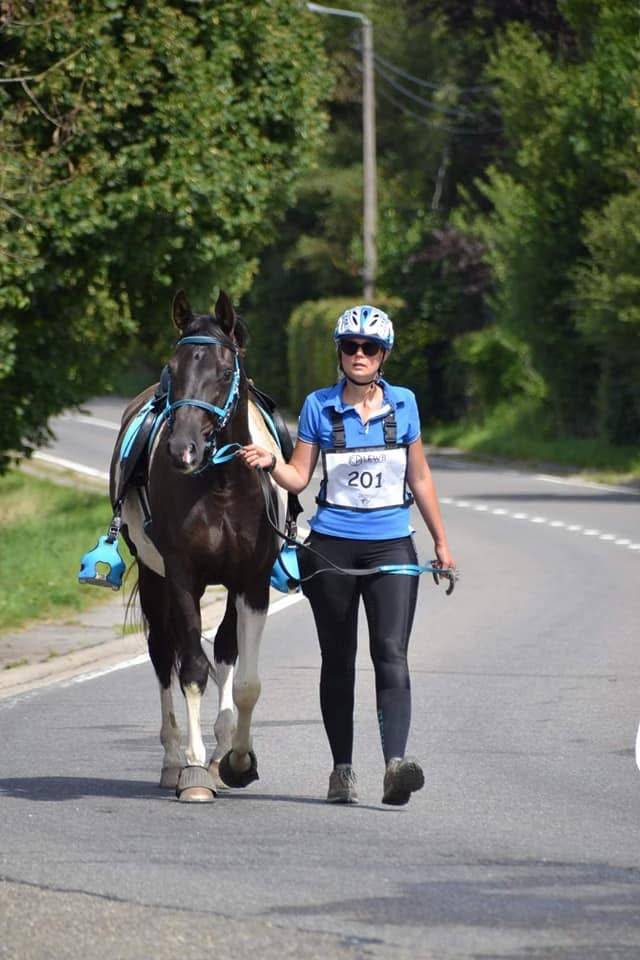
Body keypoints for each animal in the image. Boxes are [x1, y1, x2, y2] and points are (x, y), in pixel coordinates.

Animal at [109, 289, 285, 803]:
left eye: (226, 372)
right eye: (174, 366)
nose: (182, 450)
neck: (223, 483)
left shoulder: (251, 582)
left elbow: (244, 680)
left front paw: (236, 762)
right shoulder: (182, 576)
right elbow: (189, 670)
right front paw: (193, 772)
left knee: (223, 653)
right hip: (154, 578)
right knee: (163, 654)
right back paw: (172, 760)